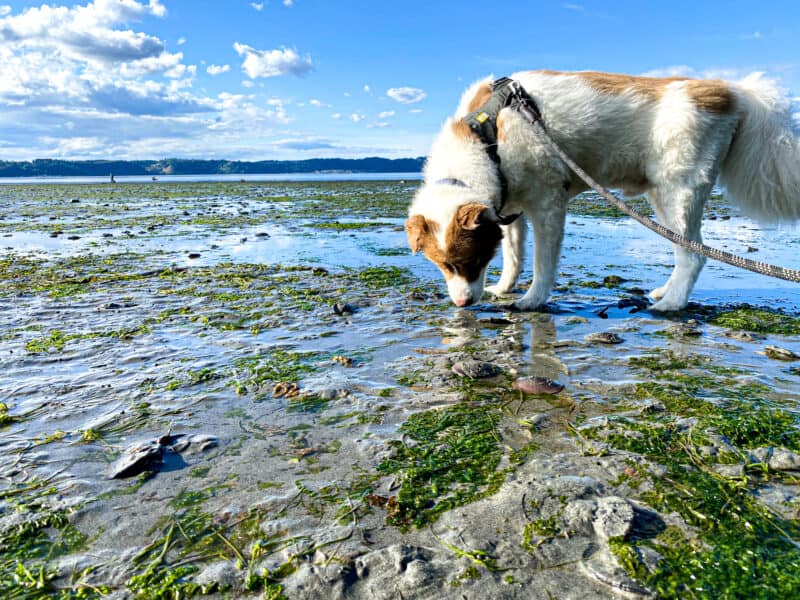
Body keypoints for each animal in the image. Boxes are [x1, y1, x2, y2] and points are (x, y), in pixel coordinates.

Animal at [410, 71, 796, 310]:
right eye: (443, 266)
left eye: (469, 261)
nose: (462, 304)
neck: (486, 137)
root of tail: (731, 92)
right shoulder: (509, 207)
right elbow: (514, 256)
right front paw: (504, 288)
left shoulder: (548, 204)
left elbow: (542, 262)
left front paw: (533, 300)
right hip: (663, 199)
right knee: (684, 249)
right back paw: (667, 292)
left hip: (679, 191)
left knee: (694, 253)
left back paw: (672, 304)